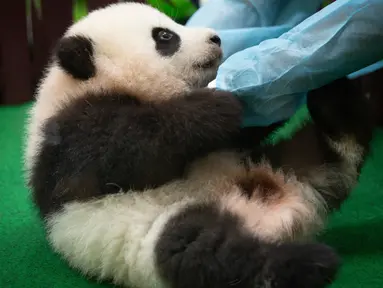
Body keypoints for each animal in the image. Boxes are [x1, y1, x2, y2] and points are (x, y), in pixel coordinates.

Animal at [25, 2, 376, 288]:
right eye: (165, 36)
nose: (216, 39)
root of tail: (285, 216)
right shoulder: (66, 138)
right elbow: (123, 154)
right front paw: (217, 105)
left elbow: (238, 134)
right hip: (151, 237)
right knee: (207, 253)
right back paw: (305, 265)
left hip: (281, 163)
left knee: (328, 156)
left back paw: (335, 99)